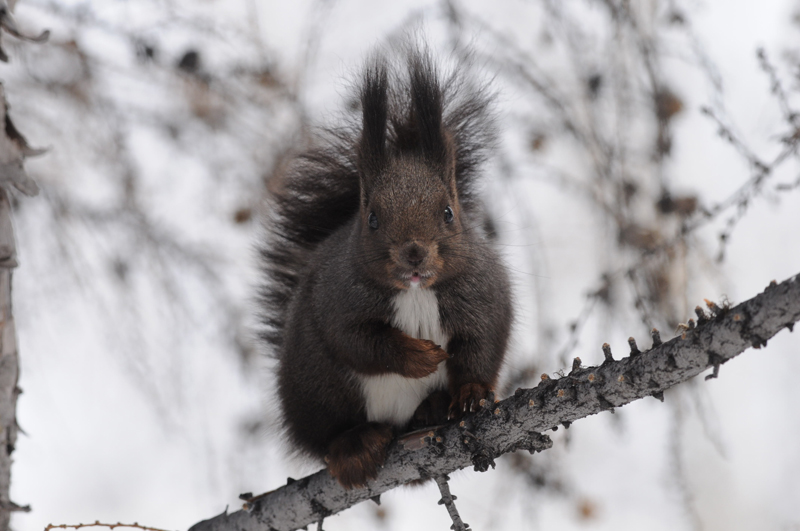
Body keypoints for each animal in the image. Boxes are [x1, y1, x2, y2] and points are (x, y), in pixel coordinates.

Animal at [262, 45, 512, 490]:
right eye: (373, 218)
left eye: (448, 212)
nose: (413, 253)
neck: (415, 292)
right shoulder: (336, 298)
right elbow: (358, 341)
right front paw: (420, 357)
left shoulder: (483, 293)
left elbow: (481, 343)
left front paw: (471, 393)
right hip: (315, 386)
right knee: (324, 435)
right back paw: (354, 445)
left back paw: (433, 407)